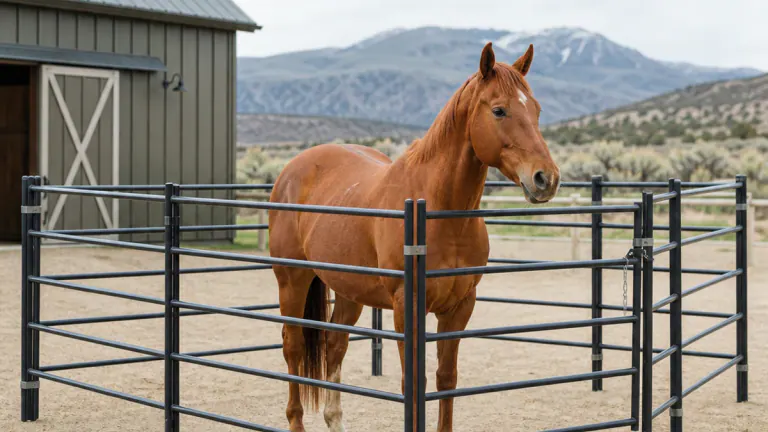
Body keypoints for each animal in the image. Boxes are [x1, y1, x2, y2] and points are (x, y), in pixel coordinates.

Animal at [268, 42, 560, 432]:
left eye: (537, 110)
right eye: (499, 110)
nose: (546, 178)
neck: (437, 209)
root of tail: (291, 169)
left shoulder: (460, 306)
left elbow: (446, 379)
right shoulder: (407, 308)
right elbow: (414, 382)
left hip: (349, 290)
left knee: (334, 343)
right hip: (292, 280)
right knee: (294, 346)